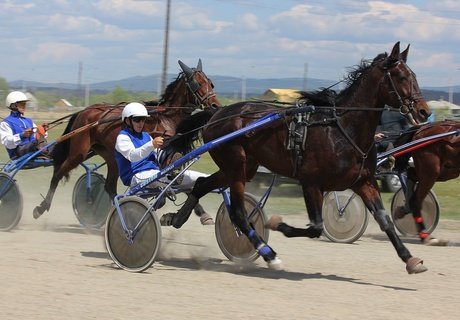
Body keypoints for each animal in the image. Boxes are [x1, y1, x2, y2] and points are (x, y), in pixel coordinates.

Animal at [32, 58, 221, 219]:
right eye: (198, 83)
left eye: (210, 82)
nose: (215, 105)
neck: (166, 117)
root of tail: (84, 111)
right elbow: (173, 181)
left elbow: (178, 180)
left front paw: (201, 212)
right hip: (79, 152)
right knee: (58, 173)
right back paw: (41, 207)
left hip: (110, 156)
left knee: (109, 186)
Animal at [162, 42, 432, 272]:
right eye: (401, 77)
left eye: (415, 76)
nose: (423, 111)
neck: (341, 128)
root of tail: (218, 114)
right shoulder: (311, 182)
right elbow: (316, 227)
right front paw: (275, 224)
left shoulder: (363, 182)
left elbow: (385, 220)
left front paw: (410, 259)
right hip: (236, 166)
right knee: (238, 213)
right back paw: (269, 254)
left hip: (242, 167)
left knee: (201, 184)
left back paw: (176, 217)